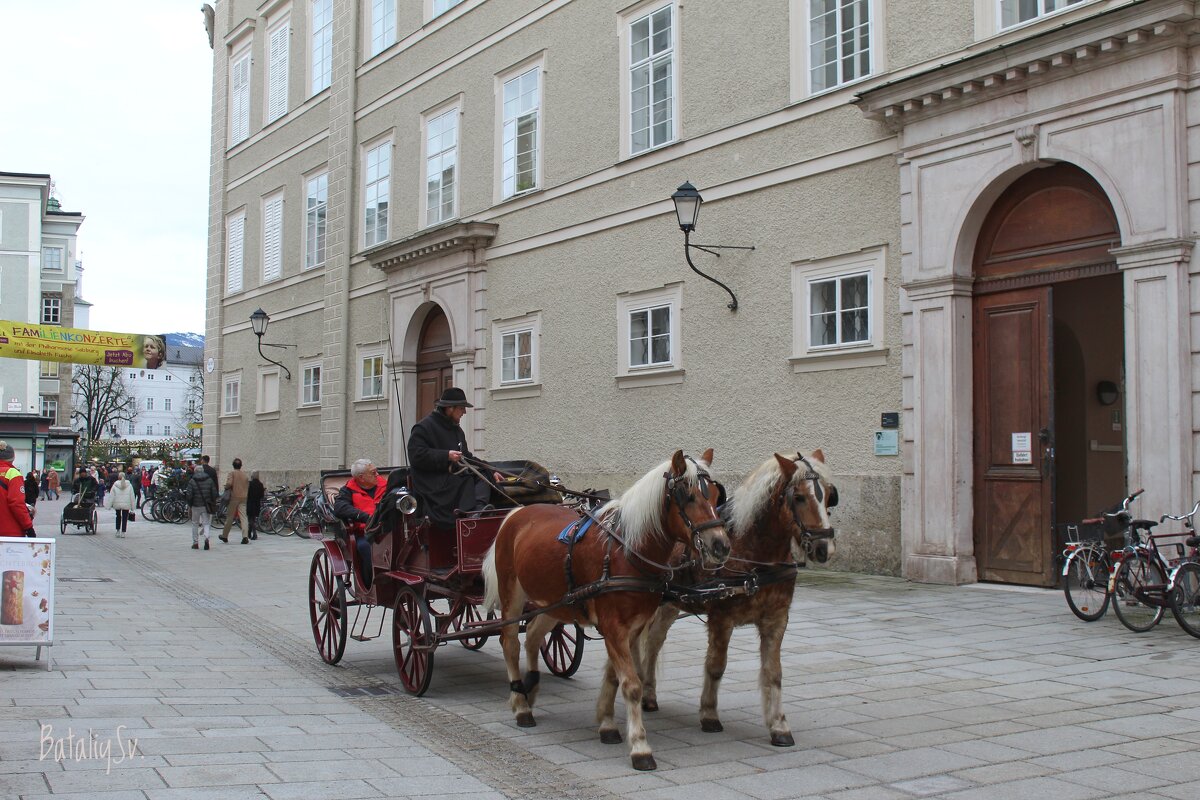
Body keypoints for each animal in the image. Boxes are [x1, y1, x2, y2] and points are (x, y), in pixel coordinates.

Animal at [480, 450, 724, 767]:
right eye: (689, 496)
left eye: (716, 495)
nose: (720, 545)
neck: (626, 551)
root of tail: (517, 513)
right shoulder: (614, 627)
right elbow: (631, 684)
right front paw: (640, 746)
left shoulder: (632, 628)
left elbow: (615, 676)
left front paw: (607, 725)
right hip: (513, 593)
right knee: (510, 642)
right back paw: (521, 704)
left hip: (554, 603)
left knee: (533, 636)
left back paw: (530, 690)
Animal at [633, 450, 840, 753]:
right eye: (800, 497)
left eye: (828, 496)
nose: (825, 548)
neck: (756, 556)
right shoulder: (722, 618)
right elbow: (716, 665)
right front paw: (709, 714)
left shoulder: (777, 619)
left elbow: (774, 672)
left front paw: (779, 725)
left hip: (670, 604)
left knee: (654, 642)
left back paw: (648, 693)